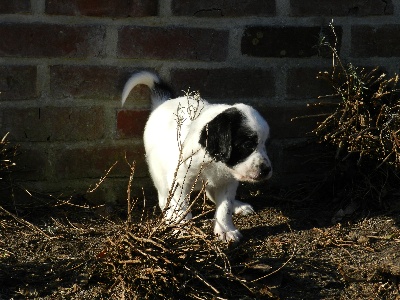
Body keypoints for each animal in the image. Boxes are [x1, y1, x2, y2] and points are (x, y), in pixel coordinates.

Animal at [122, 71, 272, 243]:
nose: (267, 170)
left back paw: (237, 205)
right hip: (158, 172)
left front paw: (226, 229)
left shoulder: (228, 181)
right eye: (248, 144)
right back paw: (169, 216)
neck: (213, 162)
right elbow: (181, 208)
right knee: (164, 198)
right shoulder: (180, 180)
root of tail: (163, 102)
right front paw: (182, 228)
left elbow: (225, 206)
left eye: (265, 144)